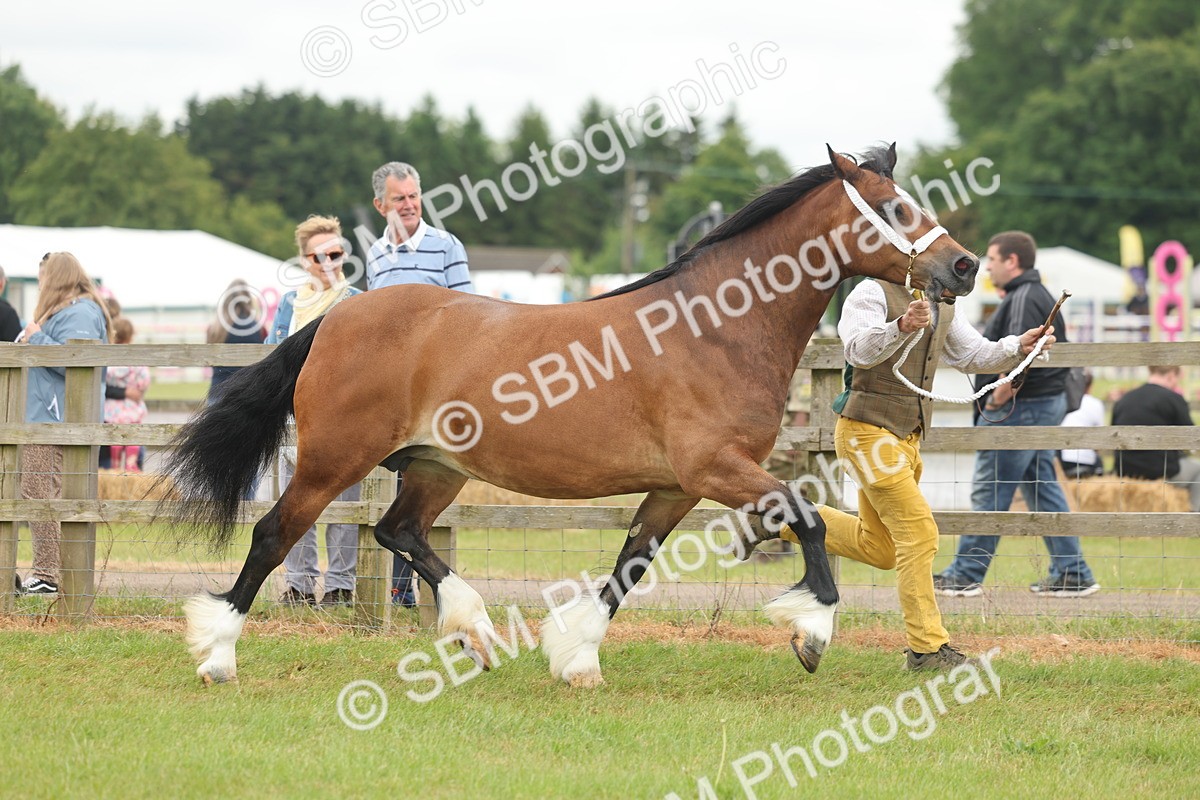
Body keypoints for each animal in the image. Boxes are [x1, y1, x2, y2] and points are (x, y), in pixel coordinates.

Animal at [164, 143, 979, 687]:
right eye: (899, 208)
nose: (965, 266)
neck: (715, 327)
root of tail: (338, 317)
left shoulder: (676, 487)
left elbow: (629, 566)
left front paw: (577, 657)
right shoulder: (716, 470)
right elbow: (805, 518)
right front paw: (811, 632)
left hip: (435, 468)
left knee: (399, 531)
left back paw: (475, 629)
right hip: (336, 459)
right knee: (274, 536)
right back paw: (218, 656)